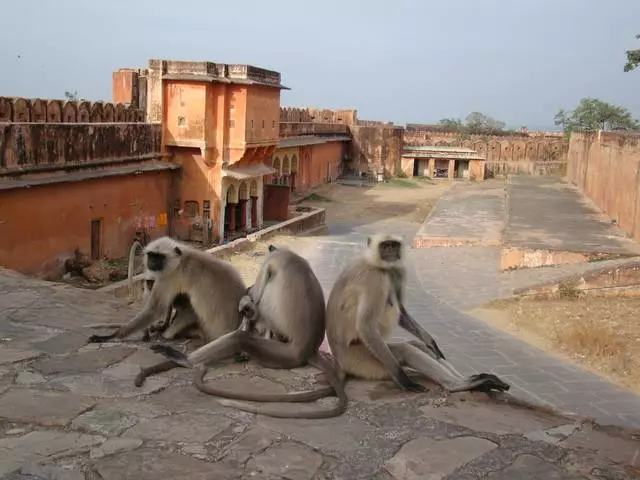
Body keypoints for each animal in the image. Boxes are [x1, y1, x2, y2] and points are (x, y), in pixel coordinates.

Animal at [151, 246, 350, 418]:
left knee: (241, 337)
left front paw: (248, 299)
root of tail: (309, 349)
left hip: (286, 353)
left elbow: (259, 289)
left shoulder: (272, 260)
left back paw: (183, 359)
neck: (290, 254)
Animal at [324, 234, 510, 396]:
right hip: (362, 361)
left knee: (415, 345)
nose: (390, 252)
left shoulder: (396, 271)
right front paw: (403, 380)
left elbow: (403, 315)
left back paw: (475, 379)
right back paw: (457, 385)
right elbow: (366, 326)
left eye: (393, 245)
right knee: (406, 350)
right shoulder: (375, 278)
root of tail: (339, 362)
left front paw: (430, 341)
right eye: (385, 246)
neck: (374, 263)